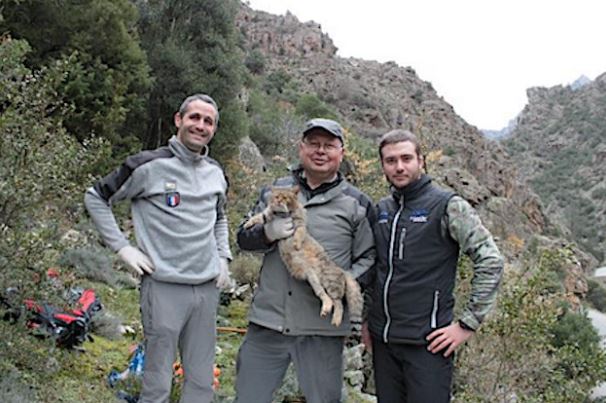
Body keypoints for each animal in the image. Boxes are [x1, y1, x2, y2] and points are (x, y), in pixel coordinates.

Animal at [245, 186, 364, 328]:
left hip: (331, 283)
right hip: (313, 279)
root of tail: (342, 271)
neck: (280, 214)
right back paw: (325, 309)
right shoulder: (267, 215)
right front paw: (247, 223)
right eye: (276, 196)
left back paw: (336, 319)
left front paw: (296, 244)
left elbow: (299, 233)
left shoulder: (300, 223)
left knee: (338, 303)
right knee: (325, 296)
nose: (279, 201)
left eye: (285, 197)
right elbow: (258, 216)